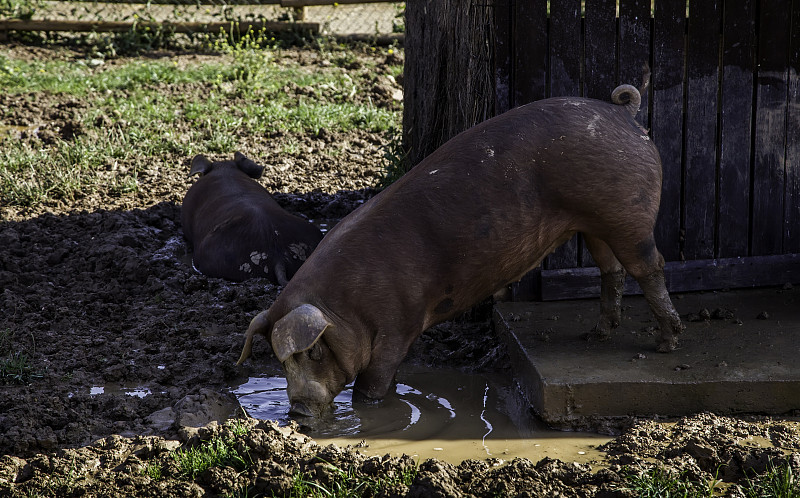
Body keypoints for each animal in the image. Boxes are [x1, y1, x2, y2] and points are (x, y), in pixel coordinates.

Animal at [234, 84, 684, 416]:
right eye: (280, 362)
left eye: (312, 353)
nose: (297, 412)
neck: (346, 305)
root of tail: (624, 113)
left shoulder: (399, 323)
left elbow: (374, 381)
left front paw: (369, 411)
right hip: (593, 224)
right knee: (612, 270)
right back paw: (596, 335)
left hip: (626, 213)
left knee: (651, 266)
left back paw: (666, 343)